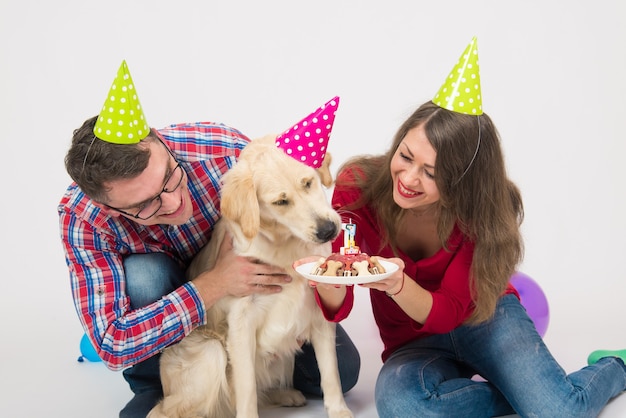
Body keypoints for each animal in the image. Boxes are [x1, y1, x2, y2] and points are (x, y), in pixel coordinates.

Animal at [146, 135, 352, 418]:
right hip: (211, 353)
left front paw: (339, 410)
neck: (287, 246)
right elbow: (246, 389)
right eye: (280, 202)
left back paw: (287, 394)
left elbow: (331, 372)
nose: (328, 230)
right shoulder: (241, 322)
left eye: (308, 183)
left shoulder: (318, 312)